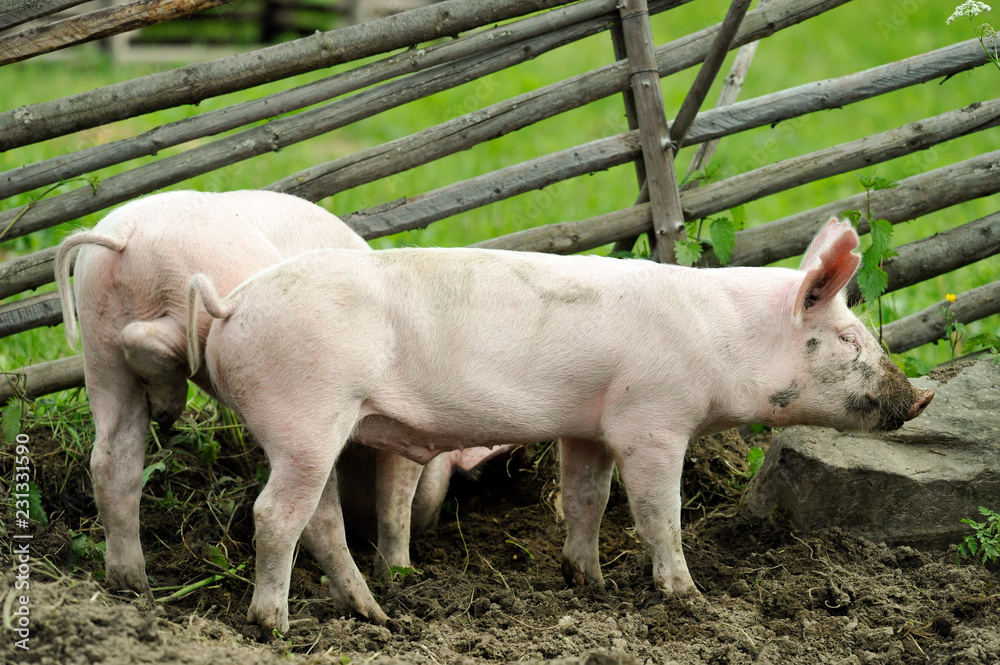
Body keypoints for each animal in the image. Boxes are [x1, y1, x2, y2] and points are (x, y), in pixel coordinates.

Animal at [53, 189, 489, 602]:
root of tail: (128, 233)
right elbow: (397, 502)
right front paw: (399, 574)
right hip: (215, 287)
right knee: (160, 341)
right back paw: (167, 409)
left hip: (99, 338)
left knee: (112, 460)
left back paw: (133, 586)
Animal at [186, 217, 934, 633]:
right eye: (852, 341)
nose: (921, 396)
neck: (724, 343)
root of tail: (230, 306)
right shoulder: (651, 420)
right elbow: (658, 512)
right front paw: (687, 596)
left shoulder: (589, 426)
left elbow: (586, 500)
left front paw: (589, 583)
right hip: (306, 414)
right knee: (275, 514)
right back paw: (274, 626)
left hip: (311, 429)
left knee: (320, 521)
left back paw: (376, 615)